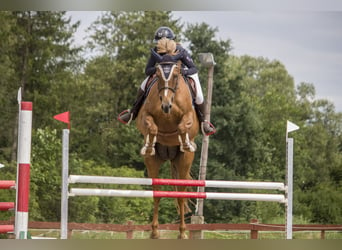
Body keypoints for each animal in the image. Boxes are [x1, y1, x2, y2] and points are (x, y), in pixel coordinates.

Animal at [136, 58, 199, 238]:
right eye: (157, 75)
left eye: (176, 75)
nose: (165, 105)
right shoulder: (145, 115)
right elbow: (151, 126)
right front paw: (149, 143)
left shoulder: (188, 116)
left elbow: (184, 126)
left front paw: (185, 141)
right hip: (153, 162)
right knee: (157, 194)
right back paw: (155, 231)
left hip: (184, 162)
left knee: (181, 195)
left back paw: (183, 232)